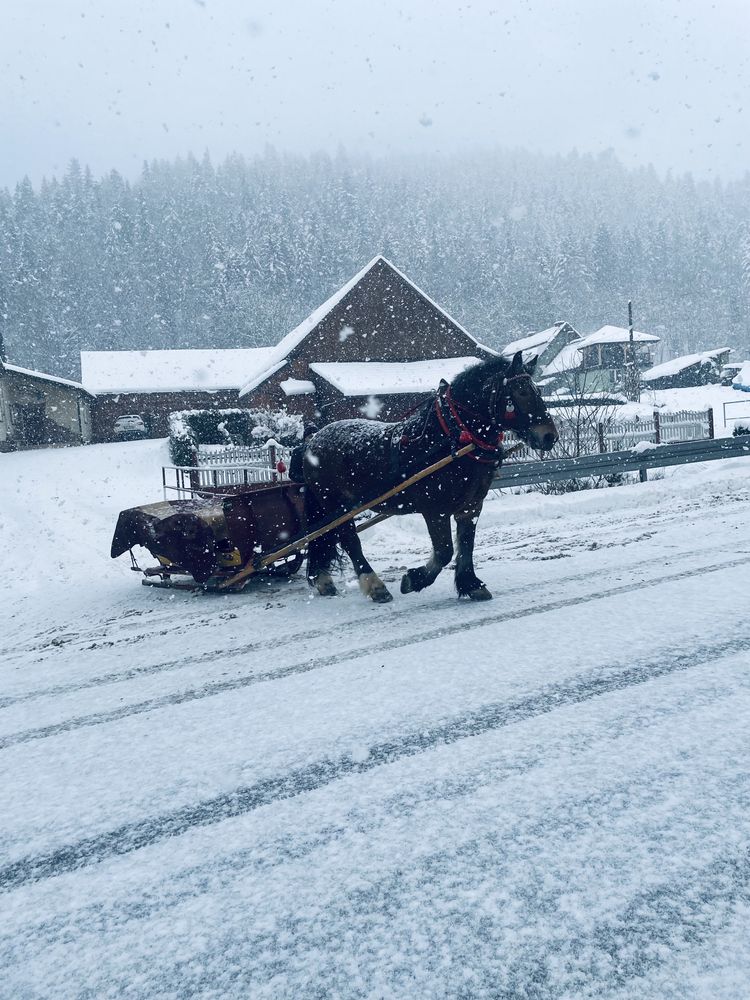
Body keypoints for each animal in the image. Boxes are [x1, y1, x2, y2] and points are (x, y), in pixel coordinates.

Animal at [302, 352, 560, 600]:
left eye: (538, 390)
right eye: (522, 391)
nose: (550, 436)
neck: (452, 438)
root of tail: (311, 442)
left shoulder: (471, 506)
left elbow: (467, 544)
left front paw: (471, 584)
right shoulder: (436, 509)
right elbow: (445, 551)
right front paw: (414, 580)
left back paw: (323, 580)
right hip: (336, 505)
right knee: (349, 540)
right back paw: (375, 586)